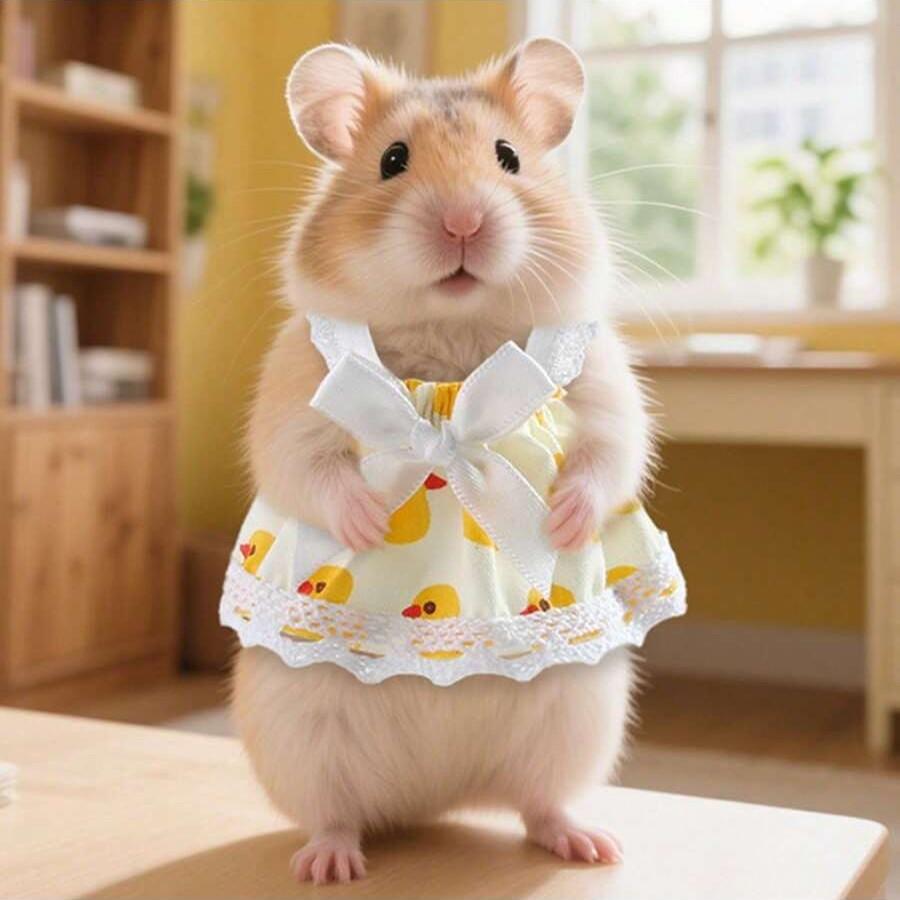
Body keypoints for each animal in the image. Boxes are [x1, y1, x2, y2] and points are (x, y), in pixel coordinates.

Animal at [232, 38, 652, 885]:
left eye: (509, 157)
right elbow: (306, 466)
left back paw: (590, 846)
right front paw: (367, 522)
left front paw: (563, 522)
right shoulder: (295, 391)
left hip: (580, 719)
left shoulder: (602, 379)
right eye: (392, 160)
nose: (463, 221)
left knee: (540, 803)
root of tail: (432, 799)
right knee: (334, 813)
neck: (455, 338)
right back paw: (329, 865)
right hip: (299, 737)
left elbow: (609, 454)